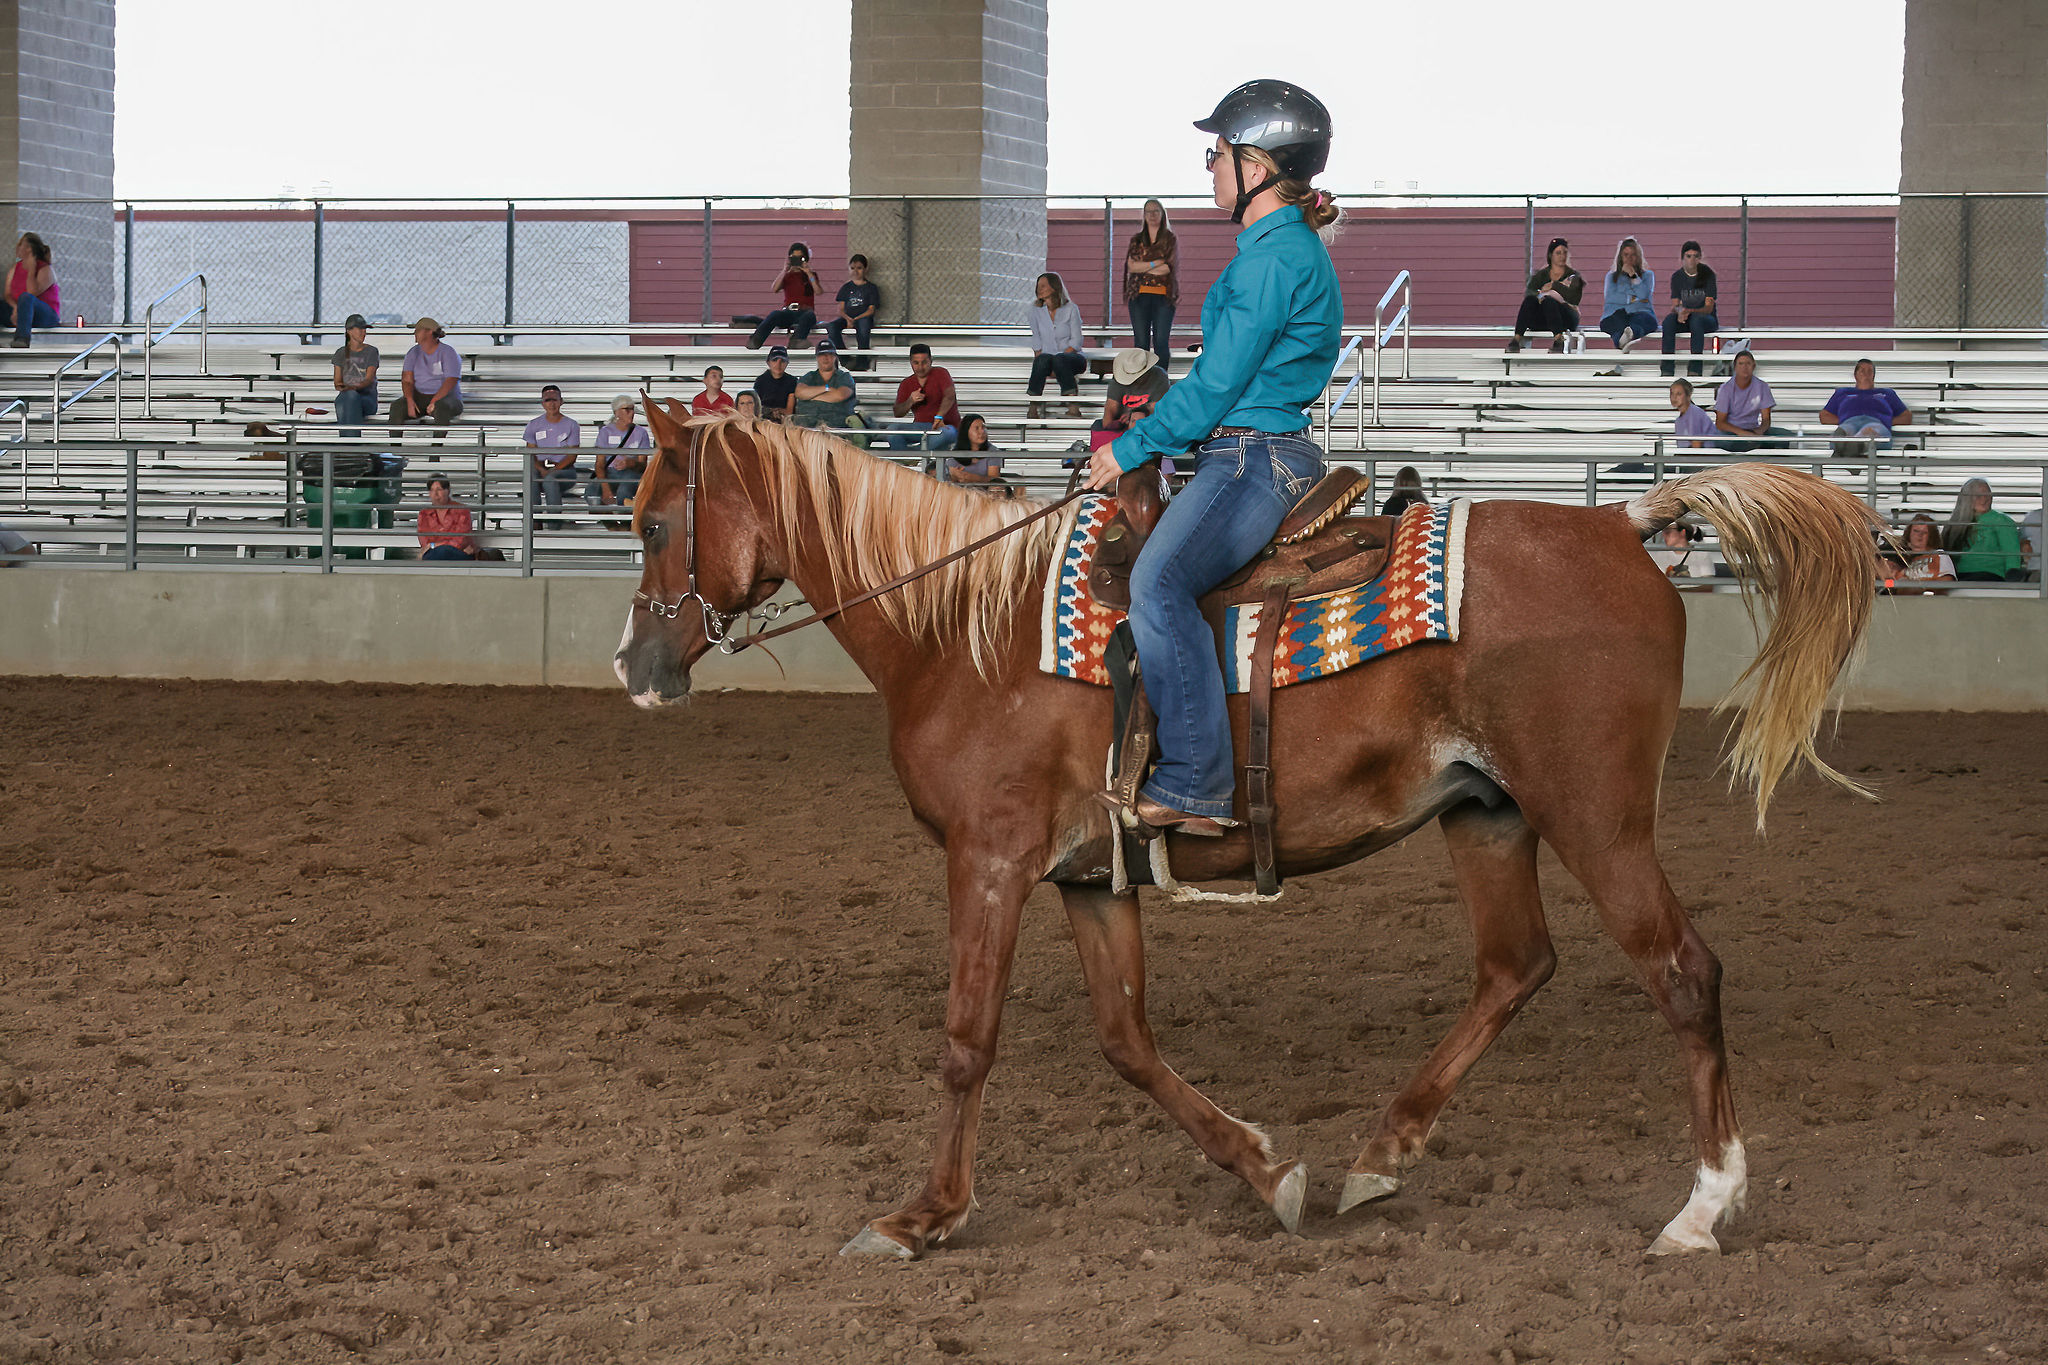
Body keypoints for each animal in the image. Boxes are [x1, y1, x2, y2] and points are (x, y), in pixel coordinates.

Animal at [613, 402, 1885, 1260]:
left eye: (658, 519)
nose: (633, 666)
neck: (962, 630)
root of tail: (1621, 526)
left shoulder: (990, 860)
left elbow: (966, 1040)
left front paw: (921, 1215)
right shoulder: (1090, 878)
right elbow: (1126, 1040)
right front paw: (1263, 1168)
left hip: (1595, 813)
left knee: (1680, 970)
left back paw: (1700, 1207)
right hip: (1487, 816)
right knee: (1514, 966)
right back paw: (1380, 1156)